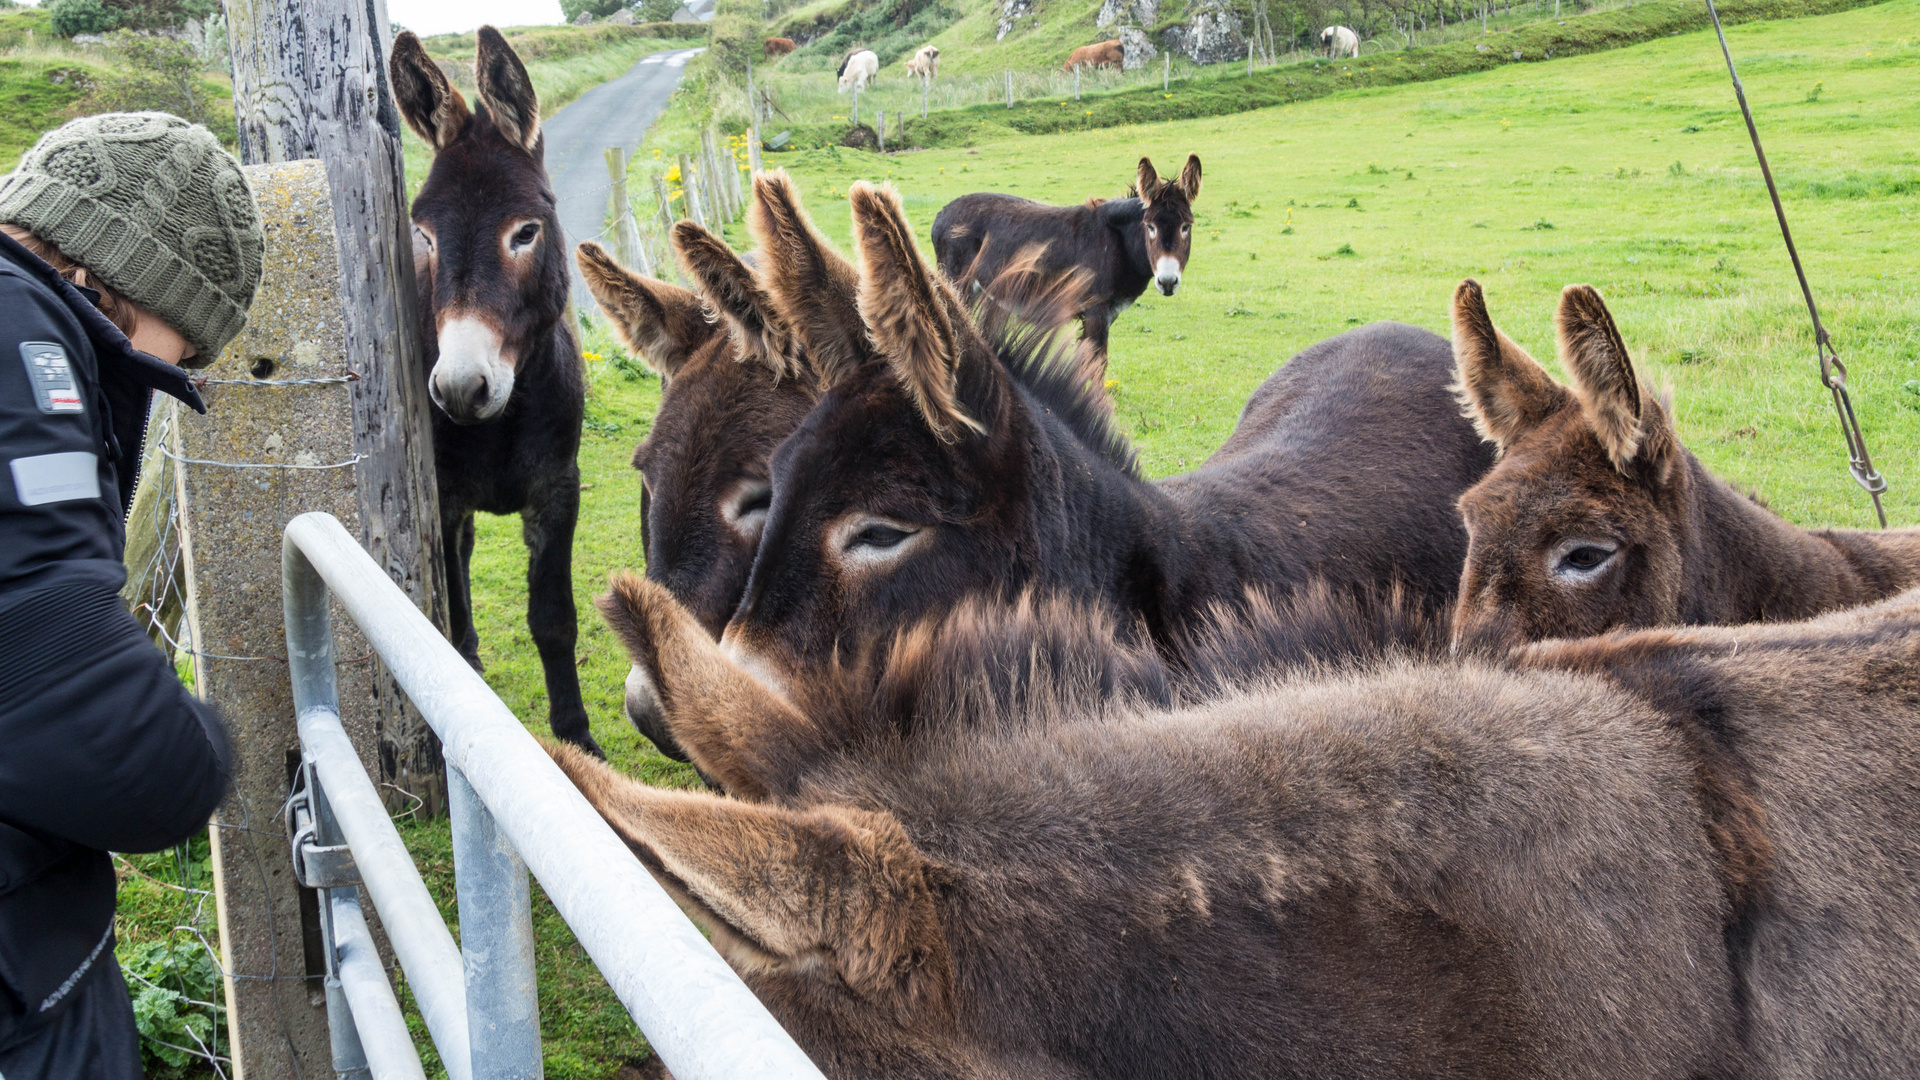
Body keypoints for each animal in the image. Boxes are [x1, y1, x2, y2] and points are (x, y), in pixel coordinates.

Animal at [387, 25, 591, 749]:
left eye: (525, 231)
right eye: (423, 235)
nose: (460, 388)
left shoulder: (557, 488)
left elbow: (554, 621)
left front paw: (577, 739)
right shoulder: (443, 497)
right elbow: (449, 610)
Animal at [933, 151, 1198, 368]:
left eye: (1186, 227)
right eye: (1150, 227)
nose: (1167, 282)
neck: (1118, 241)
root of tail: (941, 213)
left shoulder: (1108, 313)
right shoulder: (1095, 310)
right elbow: (1096, 366)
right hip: (959, 285)